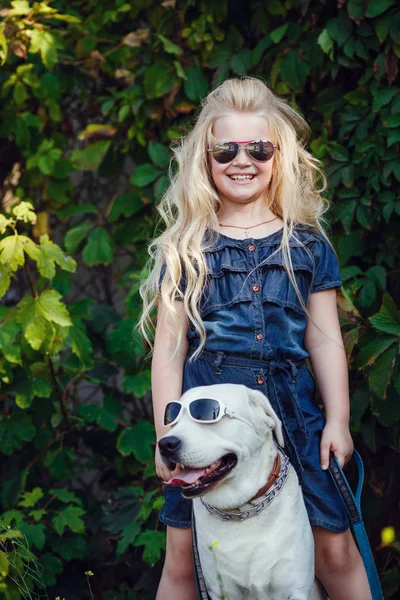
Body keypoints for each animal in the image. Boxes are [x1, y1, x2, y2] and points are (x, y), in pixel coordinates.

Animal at [158, 384, 326, 600]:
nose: (165, 444)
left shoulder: (295, 588)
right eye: (172, 420)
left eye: (207, 415)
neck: (242, 508)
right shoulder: (222, 589)